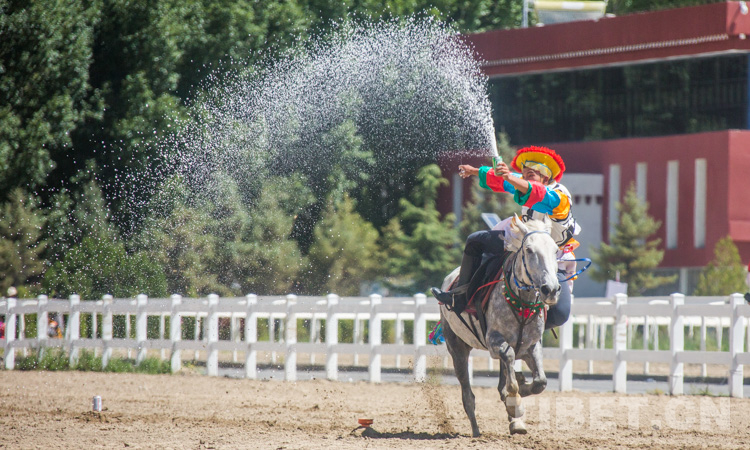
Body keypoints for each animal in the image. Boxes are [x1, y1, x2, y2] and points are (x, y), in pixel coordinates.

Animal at [439, 216, 561, 436]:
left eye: (556, 250)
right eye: (529, 250)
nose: (551, 289)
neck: (522, 303)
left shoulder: (531, 346)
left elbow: (540, 382)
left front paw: (521, 388)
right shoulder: (494, 341)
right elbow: (509, 361)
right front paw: (516, 401)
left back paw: (515, 422)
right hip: (457, 348)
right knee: (468, 396)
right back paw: (476, 431)